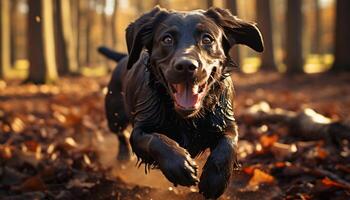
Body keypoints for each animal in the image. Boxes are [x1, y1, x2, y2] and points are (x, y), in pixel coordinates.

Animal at [98, 5, 262, 198]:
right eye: (167, 39)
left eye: (207, 39)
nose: (186, 66)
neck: (188, 118)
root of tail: (124, 57)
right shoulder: (140, 130)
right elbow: (155, 139)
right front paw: (179, 166)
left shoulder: (225, 122)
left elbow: (228, 145)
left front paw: (215, 180)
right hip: (114, 117)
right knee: (121, 135)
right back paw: (123, 157)